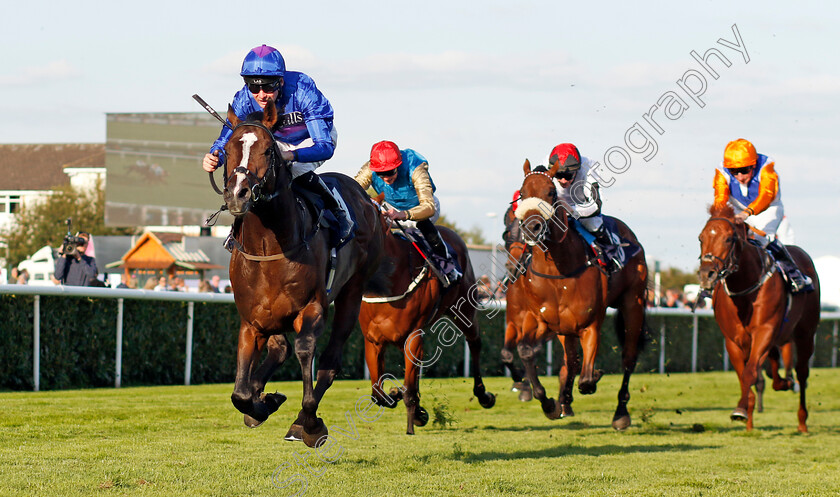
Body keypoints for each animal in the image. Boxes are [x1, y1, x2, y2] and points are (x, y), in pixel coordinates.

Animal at [218, 102, 386, 448]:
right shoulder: (251, 321)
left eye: (268, 150)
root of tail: (365, 198)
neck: (269, 247)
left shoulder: (312, 308)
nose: (238, 194)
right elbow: (240, 393)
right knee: (279, 350)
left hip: (353, 292)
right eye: (227, 149)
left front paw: (307, 422)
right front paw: (263, 402)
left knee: (329, 363)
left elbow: (306, 350)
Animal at [358, 209, 496, 434]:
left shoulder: (413, 336)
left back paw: (484, 395)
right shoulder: (373, 341)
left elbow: (408, 388)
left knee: (475, 343)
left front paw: (413, 418)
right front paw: (400, 397)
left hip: (464, 309)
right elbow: (377, 393)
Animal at [506, 160, 648, 430]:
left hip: (633, 304)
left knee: (628, 358)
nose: (532, 228)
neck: (558, 272)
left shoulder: (590, 323)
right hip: (564, 328)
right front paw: (549, 403)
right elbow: (526, 350)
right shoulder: (538, 320)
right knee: (570, 359)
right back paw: (564, 401)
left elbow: (586, 379)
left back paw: (620, 413)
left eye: (551, 193)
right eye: (522, 194)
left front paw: (593, 377)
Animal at [696, 203, 820, 428]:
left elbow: (749, 373)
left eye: (729, 238)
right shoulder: (733, 340)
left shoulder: (764, 331)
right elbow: (745, 374)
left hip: (805, 333)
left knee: (802, 373)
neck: (744, 286)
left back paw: (802, 420)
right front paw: (746, 415)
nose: (706, 275)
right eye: (701, 238)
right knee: (774, 368)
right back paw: (783, 383)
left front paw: (741, 411)